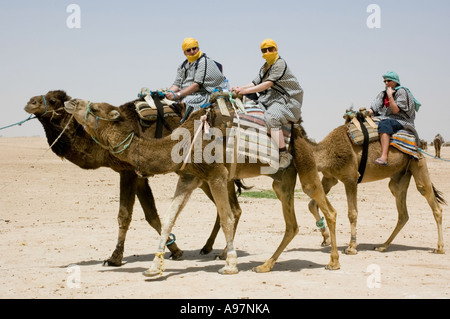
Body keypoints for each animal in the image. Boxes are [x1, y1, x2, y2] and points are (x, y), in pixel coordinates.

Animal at [65, 98, 340, 278]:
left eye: (95, 107)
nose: (71, 101)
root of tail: (300, 130)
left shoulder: (217, 175)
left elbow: (227, 217)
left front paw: (230, 265)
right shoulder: (188, 177)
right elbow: (168, 218)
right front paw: (154, 267)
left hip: (304, 165)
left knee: (327, 207)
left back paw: (334, 262)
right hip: (281, 179)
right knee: (291, 223)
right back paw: (264, 265)